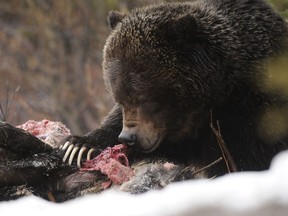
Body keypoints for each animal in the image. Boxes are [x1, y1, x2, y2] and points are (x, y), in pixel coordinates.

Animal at [62, 0, 288, 176]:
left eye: (143, 97)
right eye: (118, 97)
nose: (128, 138)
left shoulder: (252, 112)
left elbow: (246, 159)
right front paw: (79, 146)